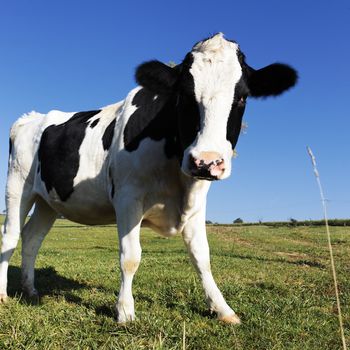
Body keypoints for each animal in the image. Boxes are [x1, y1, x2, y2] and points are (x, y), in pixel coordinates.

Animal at [0, 32, 296, 322]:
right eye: (183, 96)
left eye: (242, 98)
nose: (206, 161)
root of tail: (30, 117)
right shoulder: (128, 197)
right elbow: (130, 256)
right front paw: (125, 311)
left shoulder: (197, 203)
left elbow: (202, 257)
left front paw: (222, 308)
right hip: (17, 187)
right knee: (10, 237)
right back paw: (3, 294)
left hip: (48, 201)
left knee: (32, 238)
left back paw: (30, 289)